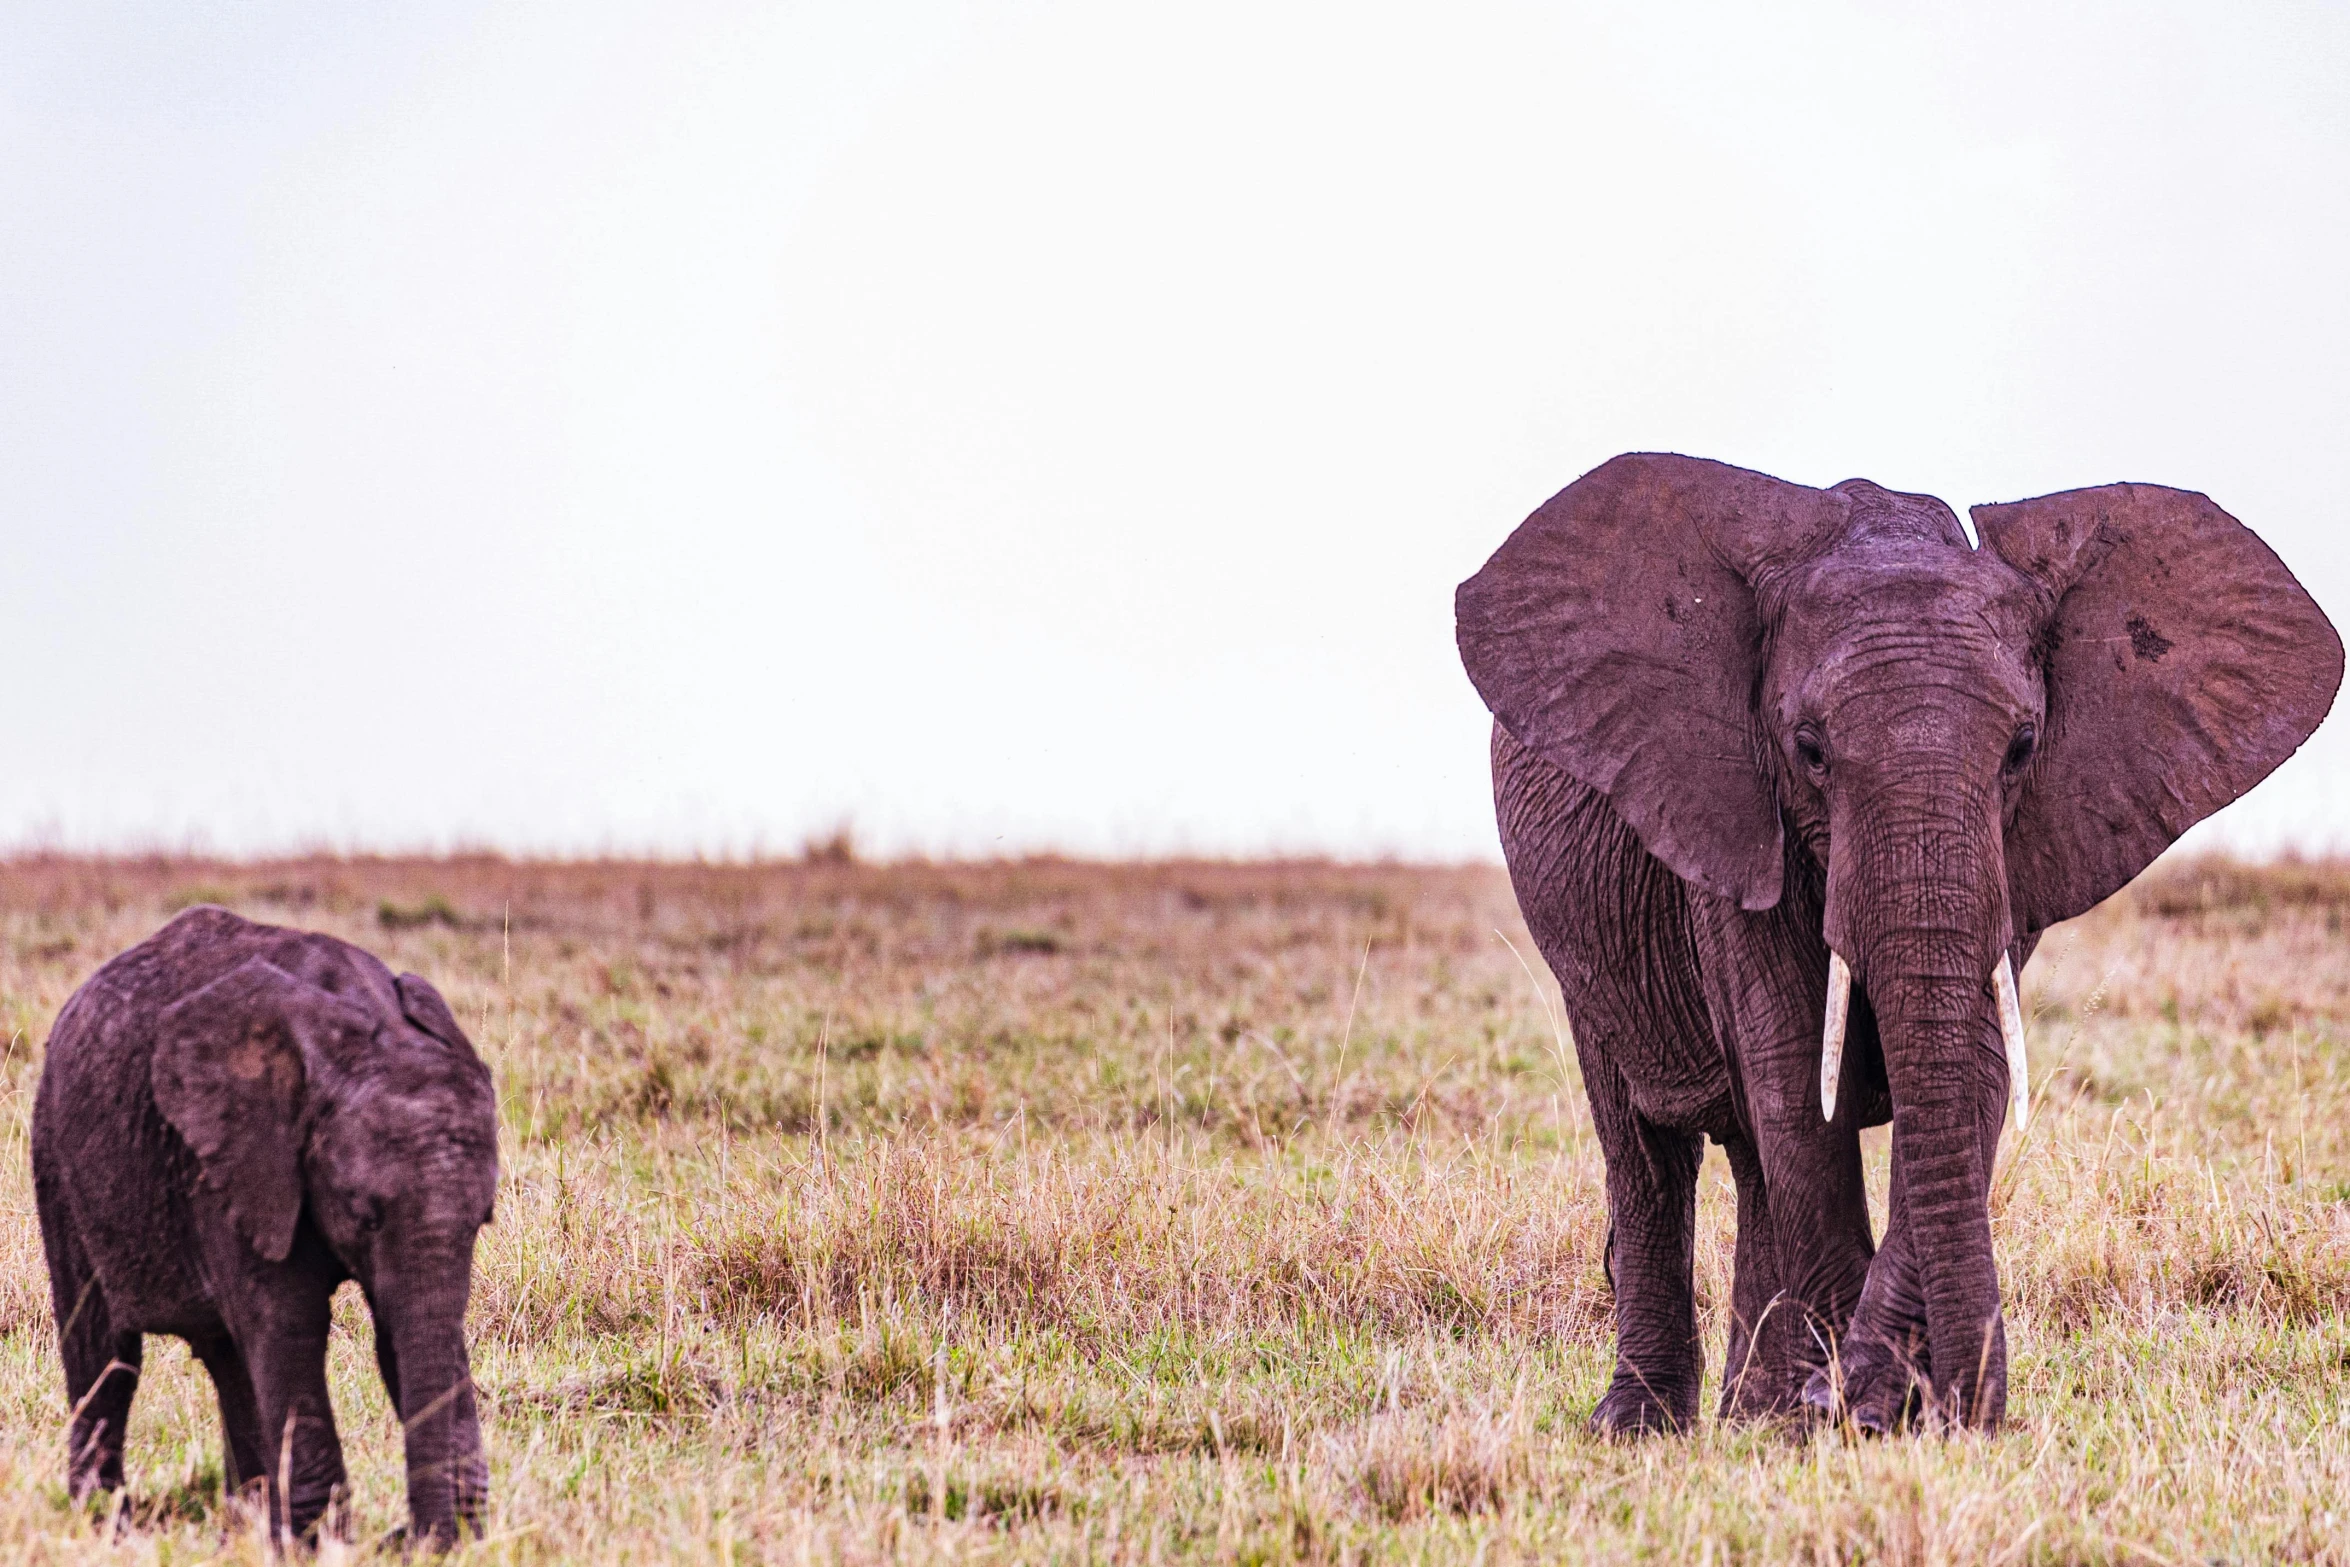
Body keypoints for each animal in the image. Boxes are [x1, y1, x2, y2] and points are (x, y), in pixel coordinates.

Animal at [30, 906, 500, 1541]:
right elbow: (289, 1324)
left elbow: (397, 1330)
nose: (412, 1542)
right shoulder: (233, 1164)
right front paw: (320, 1543)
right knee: (105, 1354)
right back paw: (105, 1525)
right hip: (57, 1156)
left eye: (483, 1220)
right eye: (364, 1215)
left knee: (227, 1358)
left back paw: (243, 1521)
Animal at [1457, 453, 2340, 1437]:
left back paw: (1753, 1417)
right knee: (1651, 1150)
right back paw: (1647, 1425)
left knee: (1750, 1158)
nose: (1971, 1412)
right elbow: (1796, 1077)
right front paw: (1844, 1414)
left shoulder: (2015, 849)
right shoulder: (1732, 820)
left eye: (2022, 746)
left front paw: (1855, 1407)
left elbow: (1974, 1068)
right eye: (1809, 750)